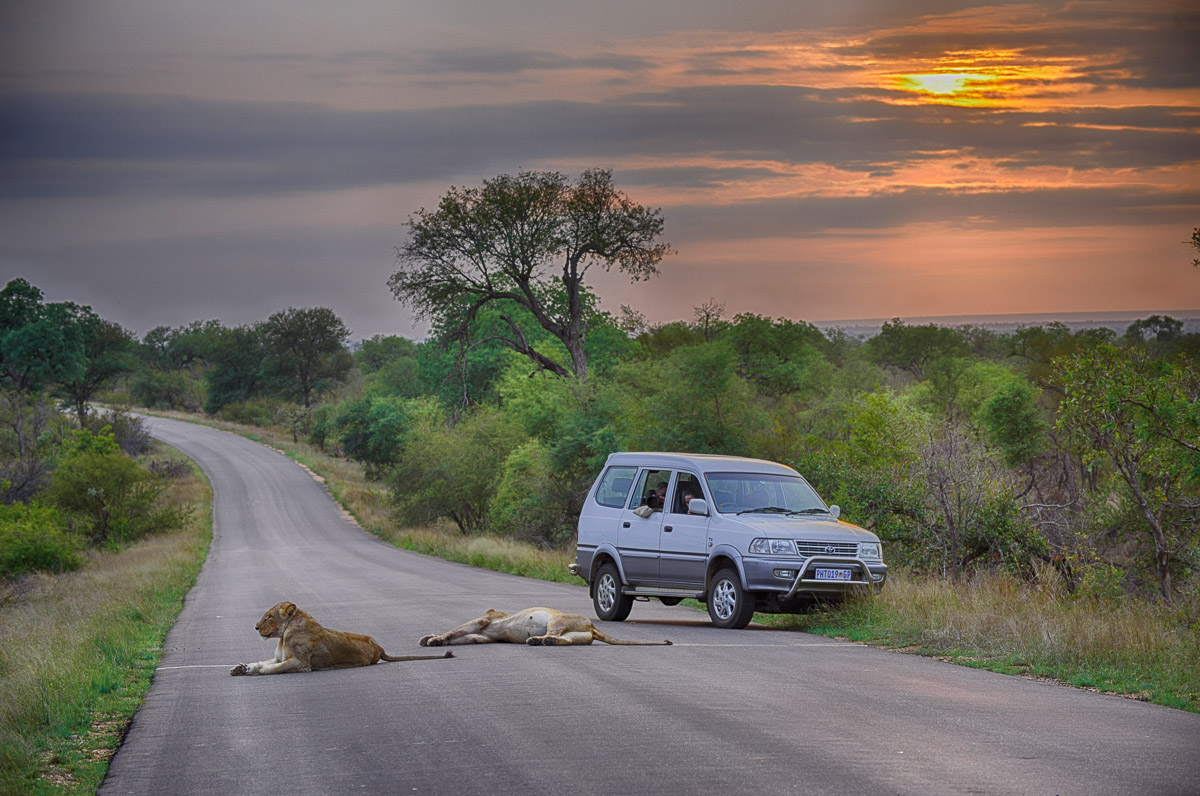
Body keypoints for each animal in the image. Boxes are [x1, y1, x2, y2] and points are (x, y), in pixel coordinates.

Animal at [230, 601, 452, 676]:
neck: (283, 635)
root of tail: (378, 646)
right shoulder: (279, 657)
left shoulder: (301, 663)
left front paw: (256, 671)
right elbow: (263, 662)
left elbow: (273, 669)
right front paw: (243, 668)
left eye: (269, 616)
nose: (256, 627)